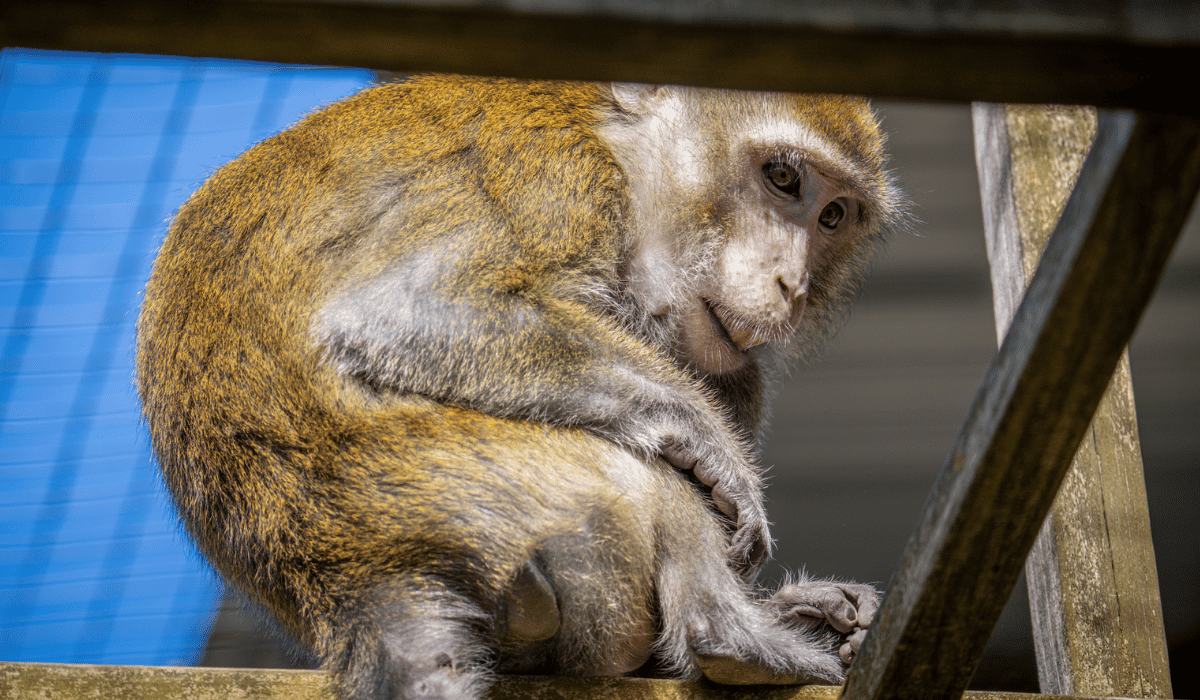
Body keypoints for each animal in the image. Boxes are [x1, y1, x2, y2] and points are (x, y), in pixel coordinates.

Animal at [136, 74, 904, 700]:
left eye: (833, 217)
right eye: (782, 178)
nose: (793, 285)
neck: (621, 146)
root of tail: (342, 572)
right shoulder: (563, 177)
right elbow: (405, 314)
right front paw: (709, 440)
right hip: (497, 488)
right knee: (645, 470)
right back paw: (734, 637)